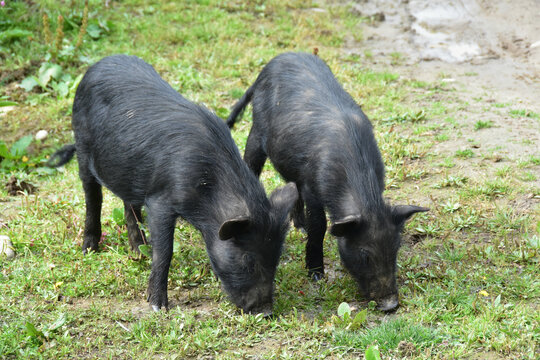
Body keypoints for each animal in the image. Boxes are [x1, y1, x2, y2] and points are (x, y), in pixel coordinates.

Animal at [226, 52, 428, 310]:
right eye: (365, 254)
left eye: (395, 249)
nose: (391, 304)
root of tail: (274, 61)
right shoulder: (312, 187)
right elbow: (319, 225)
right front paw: (316, 275)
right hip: (257, 130)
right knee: (251, 162)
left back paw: (299, 225)